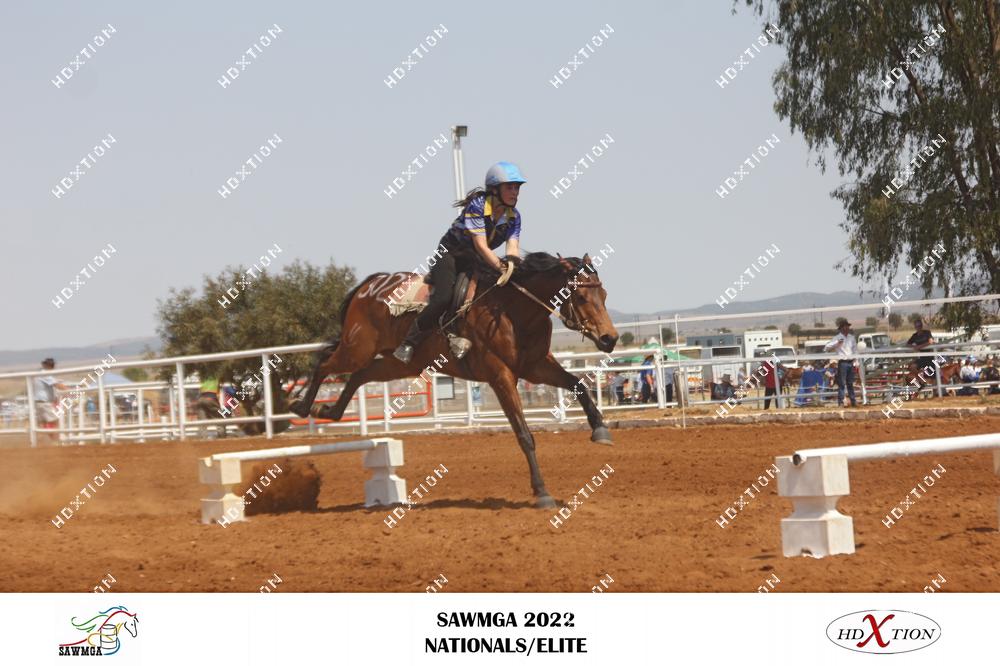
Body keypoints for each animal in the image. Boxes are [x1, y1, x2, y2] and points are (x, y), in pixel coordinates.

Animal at [289, 252, 619, 508]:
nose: (610, 338)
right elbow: (524, 435)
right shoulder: (501, 377)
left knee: (358, 375)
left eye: (603, 295)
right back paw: (300, 405)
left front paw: (600, 429)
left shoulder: (536, 367)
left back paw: (326, 410)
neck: (513, 311)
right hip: (357, 349)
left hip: (399, 364)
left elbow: (578, 384)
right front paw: (542, 492)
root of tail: (369, 285)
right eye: (580, 296)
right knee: (324, 363)